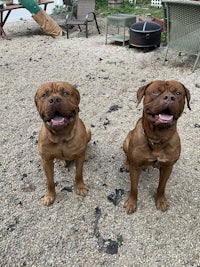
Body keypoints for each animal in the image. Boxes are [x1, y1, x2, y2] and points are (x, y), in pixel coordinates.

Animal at [123, 80, 191, 215]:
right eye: (155, 91)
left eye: (178, 93)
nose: (169, 97)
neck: (158, 138)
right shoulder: (136, 167)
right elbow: (134, 188)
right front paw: (132, 202)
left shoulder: (168, 167)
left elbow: (161, 187)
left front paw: (161, 200)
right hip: (126, 141)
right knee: (127, 155)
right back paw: (126, 163)